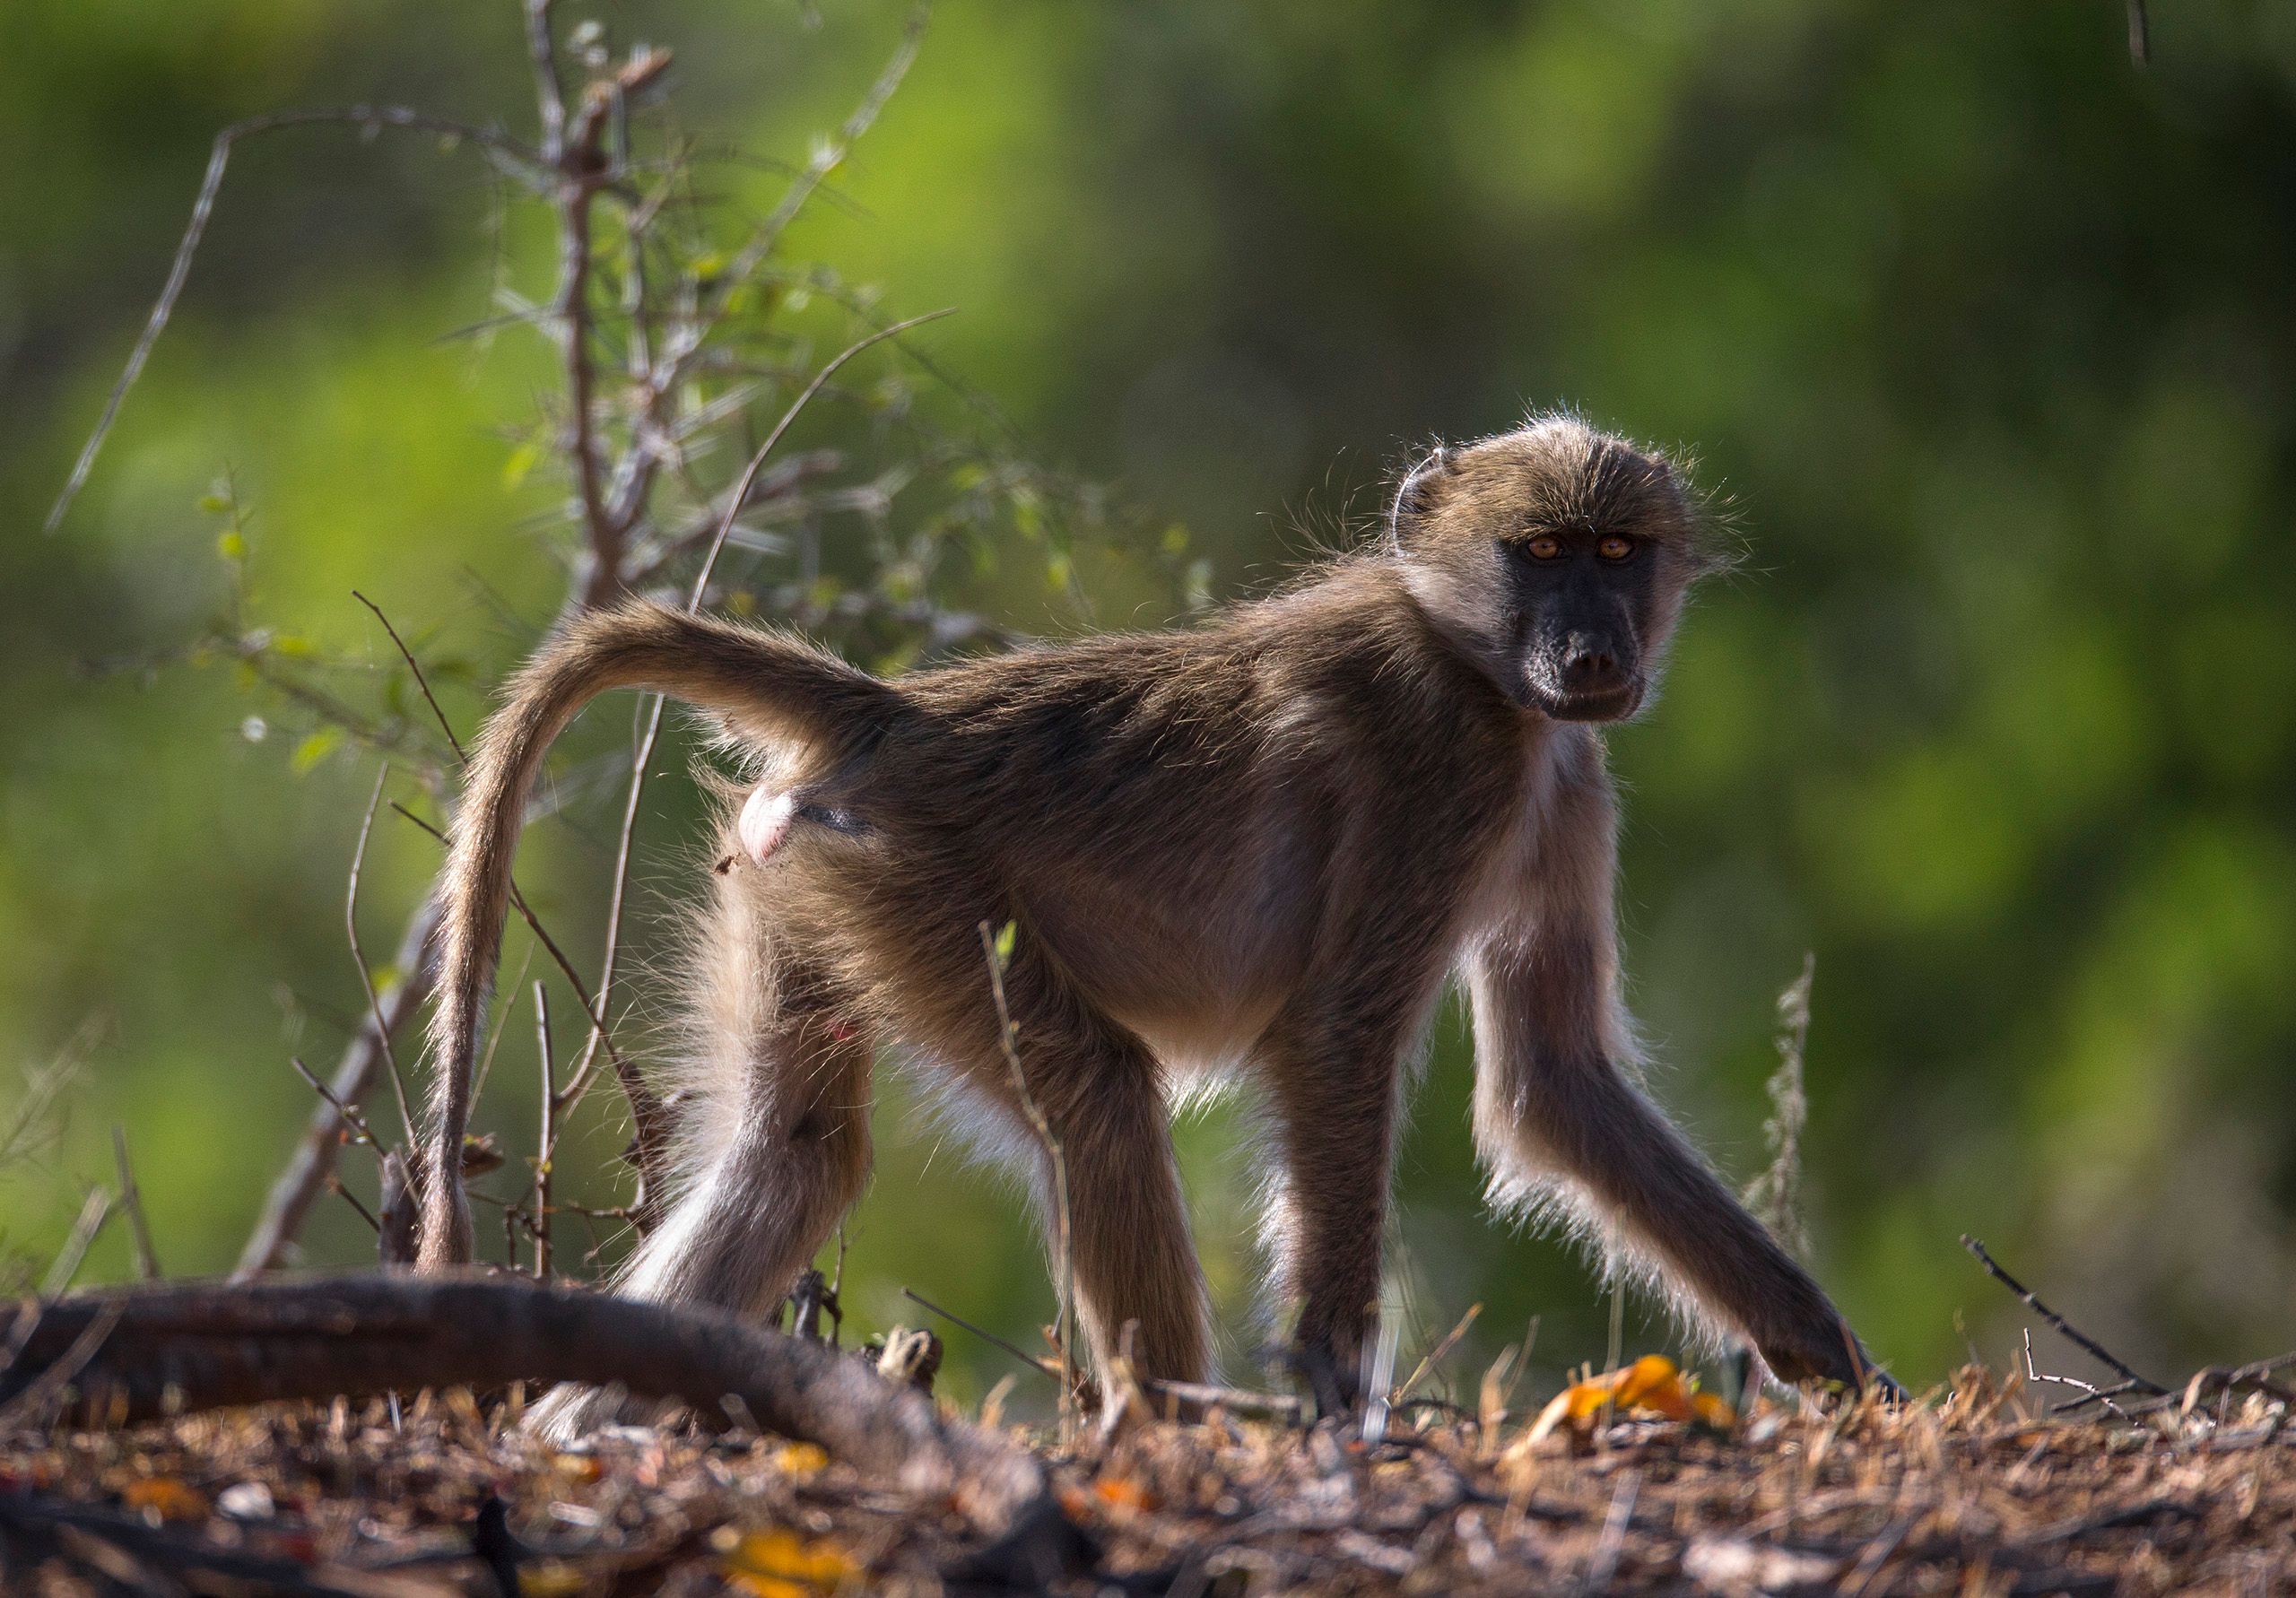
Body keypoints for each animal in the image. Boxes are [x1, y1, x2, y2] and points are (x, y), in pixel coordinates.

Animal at [414, 413, 1893, 1436]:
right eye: (1538, 555)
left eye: (1615, 553)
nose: (1590, 659)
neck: (1477, 663)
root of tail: (891, 713)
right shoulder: (1447, 772)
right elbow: (1340, 1041)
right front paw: (1327, 1401)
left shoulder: (1565, 781)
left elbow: (1554, 1086)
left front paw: (1830, 1359)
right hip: (923, 891)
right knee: (1100, 1100)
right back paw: (1176, 1442)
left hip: (802, 879)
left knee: (798, 1156)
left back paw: (575, 1417)